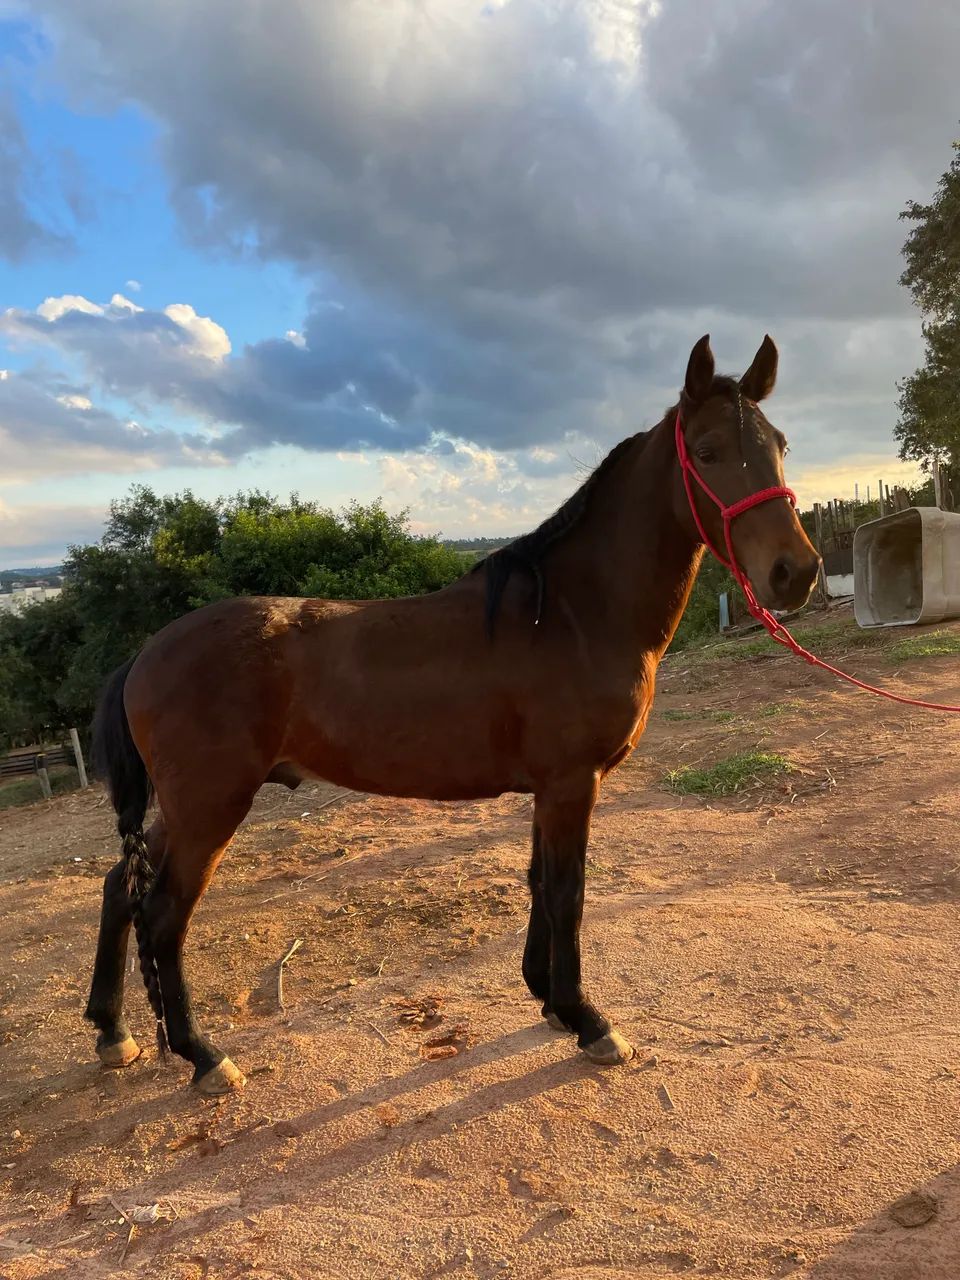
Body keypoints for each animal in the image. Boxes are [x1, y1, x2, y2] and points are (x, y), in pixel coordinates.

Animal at [86, 334, 820, 1095]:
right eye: (706, 450)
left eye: (779, 444)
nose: (795, 572)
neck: (571, 614)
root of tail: (145, 654)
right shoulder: (571, 783)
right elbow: (567, 892)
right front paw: (588, 1020)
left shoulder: (550, 788)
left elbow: (538, 882)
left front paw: (548, 1001)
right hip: (211, 809)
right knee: (163, 916)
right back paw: (202, 1055)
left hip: (188, 808)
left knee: (118, 889)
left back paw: (114, 1033)